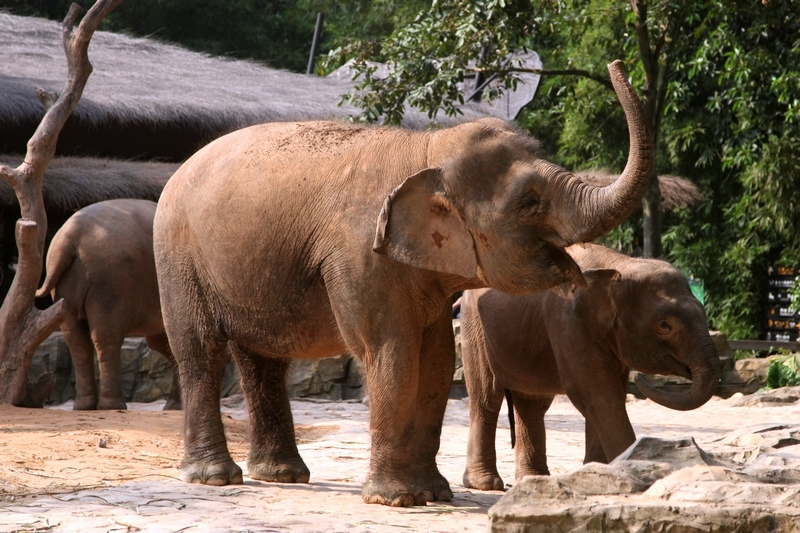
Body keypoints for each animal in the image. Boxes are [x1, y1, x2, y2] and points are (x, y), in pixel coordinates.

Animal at [37, 199, 181, 411]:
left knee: (77, 340)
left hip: (67, 288)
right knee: (106, 337)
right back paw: (114, 406)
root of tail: (69, 237)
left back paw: (84, 406)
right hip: (111, 282)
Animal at [152, 60, 653, 507]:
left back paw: (282, 476)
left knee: (262, 359)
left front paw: (434, 493)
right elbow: (389, 350)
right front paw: (396, 499)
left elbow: (436, 358)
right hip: (178, 257)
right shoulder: (359, 253)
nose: (617, 63)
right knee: (200, 351)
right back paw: (216, 478)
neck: (428, 148)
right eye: (530, 201)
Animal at [459, 243, 721, 491]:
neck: (619, 266)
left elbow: (608, 395)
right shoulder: (567, 320)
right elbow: (598, 395)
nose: (640, 378)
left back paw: (533, 478)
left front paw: (597, 471)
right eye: (665, 325)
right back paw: (486, 483)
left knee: (532, 404)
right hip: (474, 328)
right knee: (487, 398)